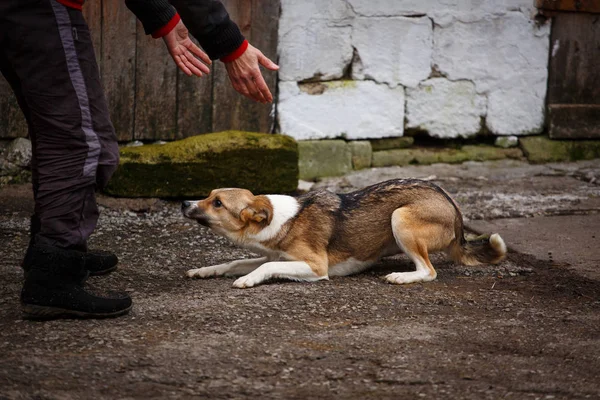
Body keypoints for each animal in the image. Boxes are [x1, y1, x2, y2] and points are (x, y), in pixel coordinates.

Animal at [182, 180, 506, 290]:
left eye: (218, 203)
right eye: (209, 195)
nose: (184, 203)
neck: (283, 218)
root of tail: (456, 214)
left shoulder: (315, 266)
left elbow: (265, 266)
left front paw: (248, 280)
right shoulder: (277, 255)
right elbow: (236, 262)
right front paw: (204, 271)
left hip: (400, 217)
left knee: (428, 271)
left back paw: (402, 276)